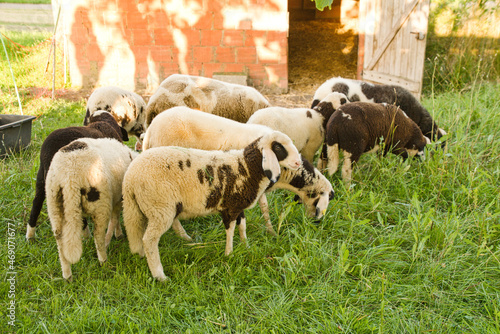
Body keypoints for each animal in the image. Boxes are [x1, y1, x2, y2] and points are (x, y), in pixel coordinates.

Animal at [26, 111, 129, 241]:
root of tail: (47, 151)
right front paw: (118, 233)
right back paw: (87, 235)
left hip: (42, 178)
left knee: (36, 203)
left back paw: (30, 235)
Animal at [45, 137, 137, 280]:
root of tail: (69, 177)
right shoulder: (117, 199)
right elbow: (115, 218)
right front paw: (118, 234)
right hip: (100, 203)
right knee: (98, 235)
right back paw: (103, 260)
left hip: (53, 204)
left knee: (59, 239)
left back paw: (67, 275)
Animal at [122, 132, 300, 280]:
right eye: (278, 147)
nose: (298, 162)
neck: (247, 167)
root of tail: (129, 178)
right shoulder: (229, 207)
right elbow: (230, 230)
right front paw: (229, 254)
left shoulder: (238, 205)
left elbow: (242, 226)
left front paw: (246, 246)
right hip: (159, 205)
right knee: (149, 240)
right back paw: (160, 275)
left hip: (158, 206)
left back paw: (183, 239)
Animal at [143, 107, 334, 235]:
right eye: (280, 148)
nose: (314, 224)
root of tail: (151, 129)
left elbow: (265, 208)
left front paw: (271, 231)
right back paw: (185, 236)